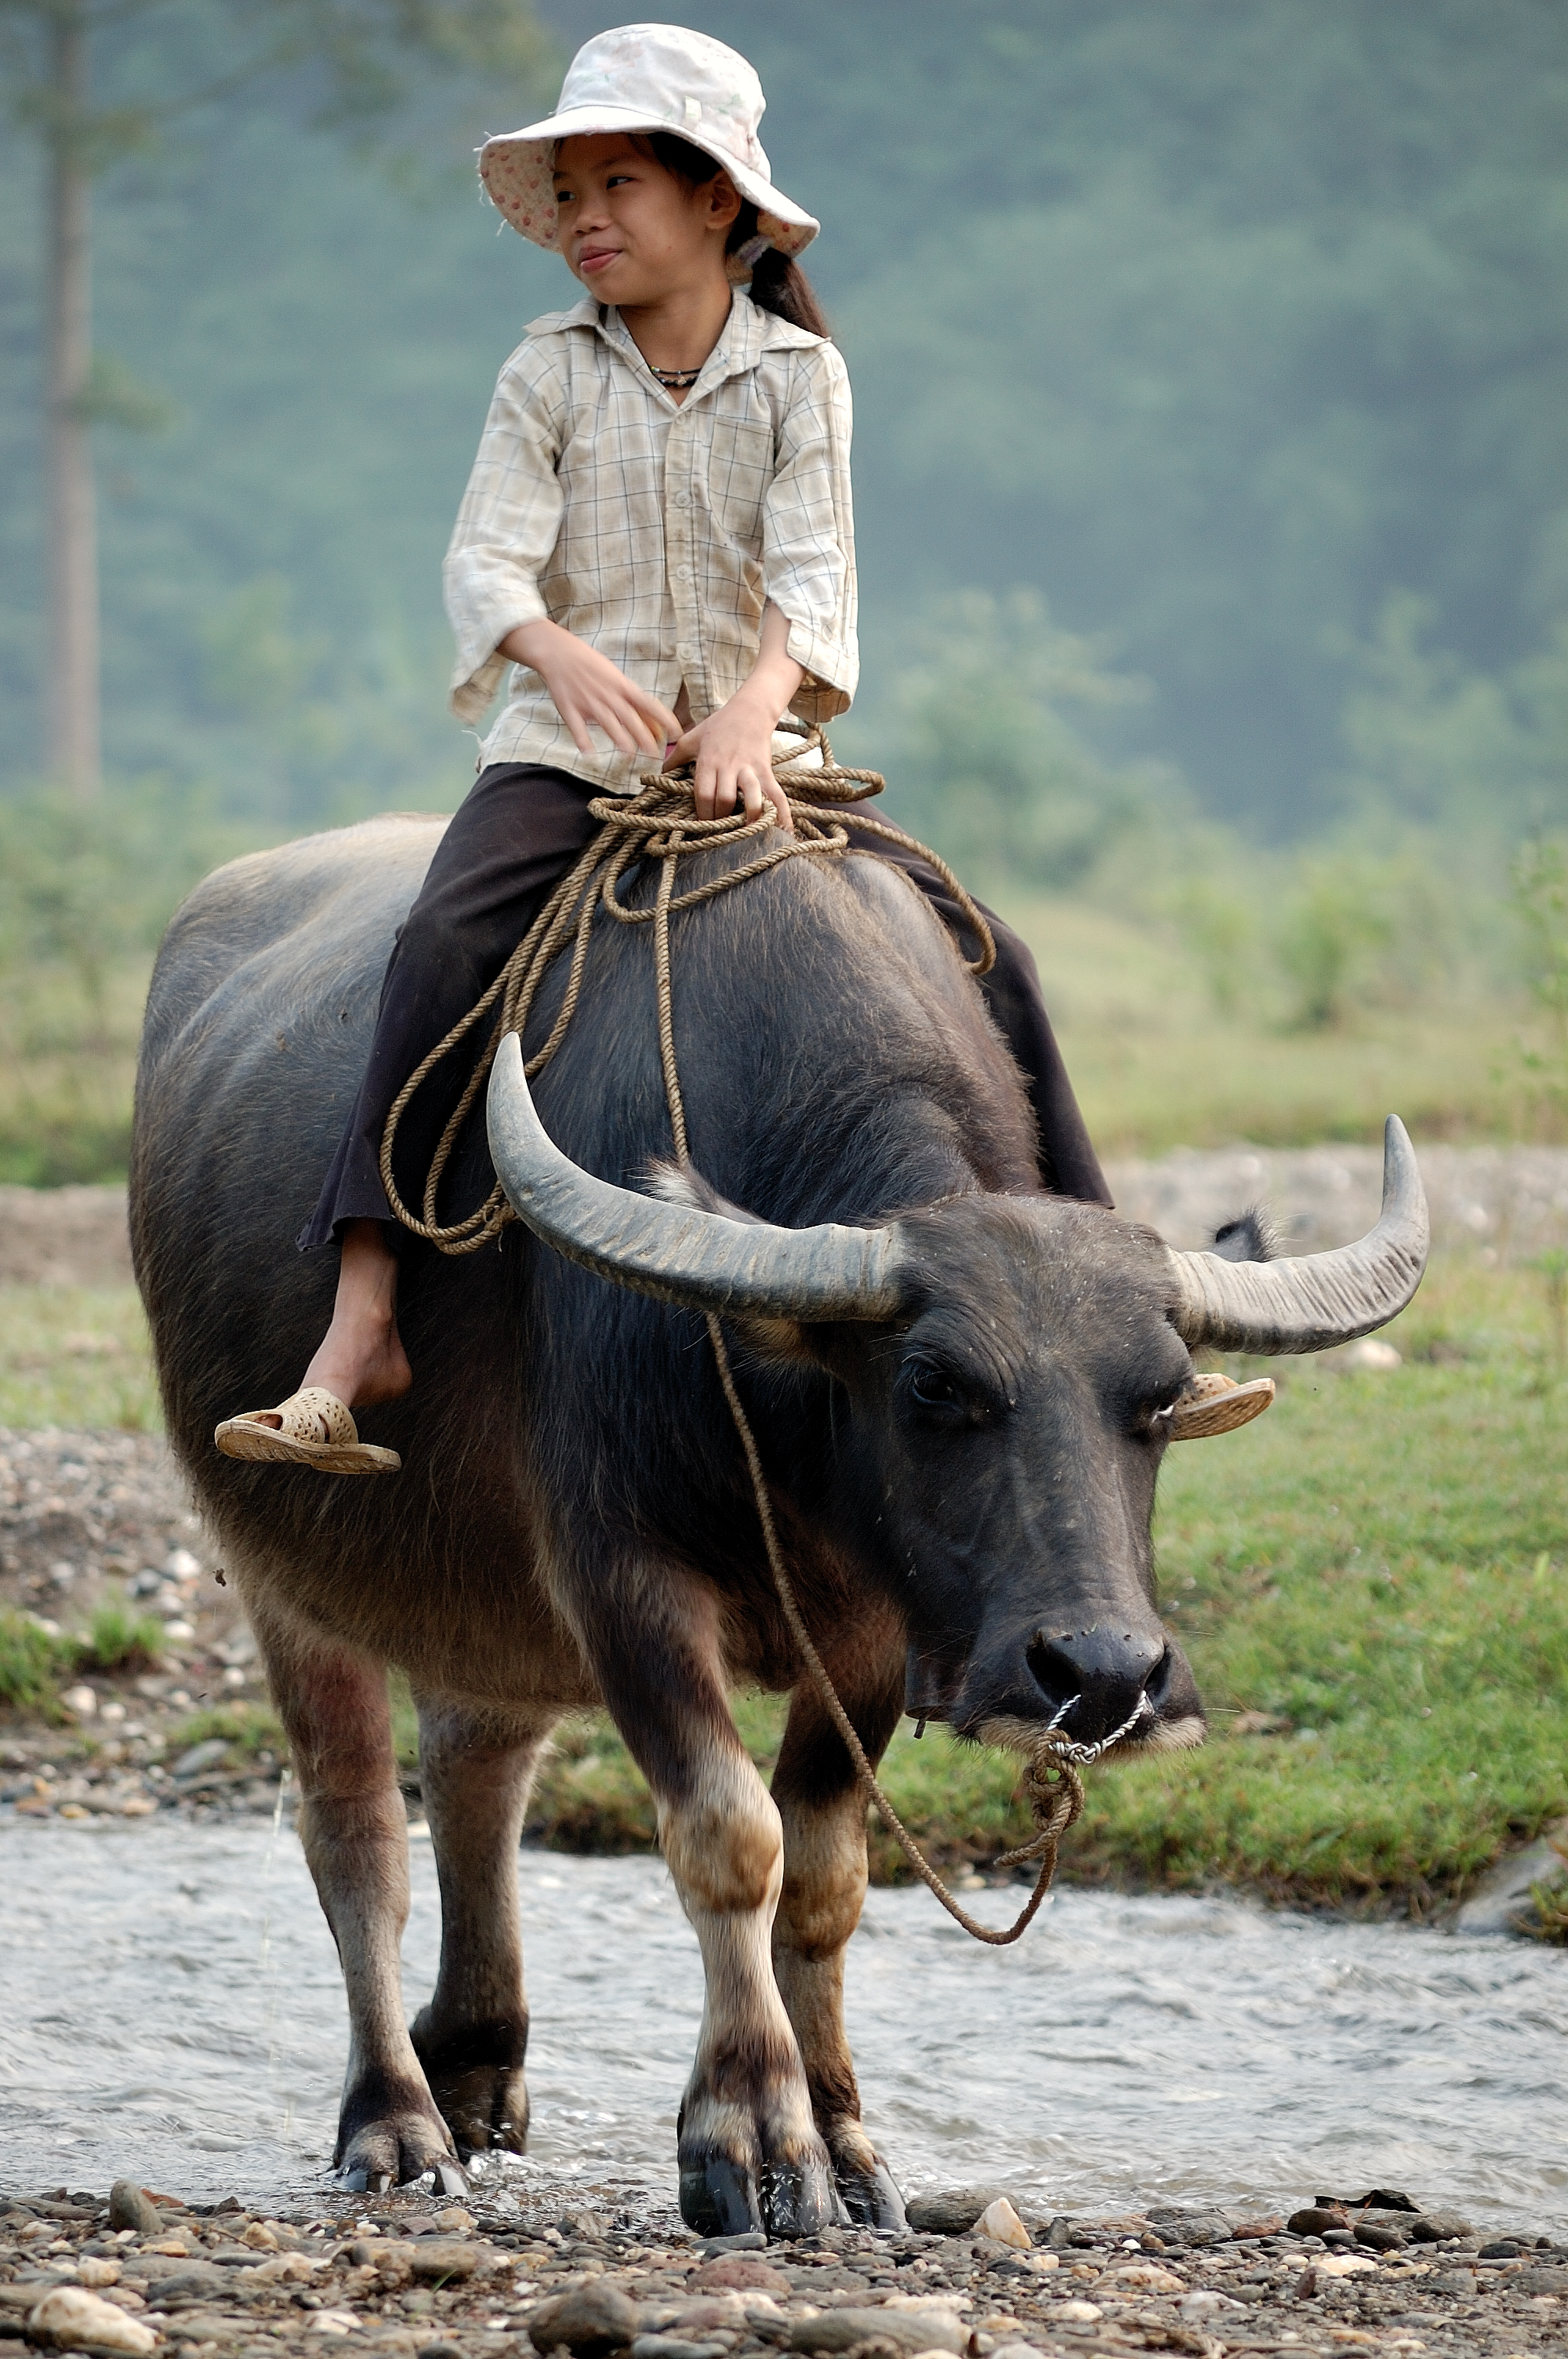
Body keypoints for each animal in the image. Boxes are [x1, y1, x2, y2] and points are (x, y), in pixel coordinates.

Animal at [131, 811, 1433, 2226]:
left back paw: (474, 2065)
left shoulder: (869, 1627)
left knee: (482, 1764)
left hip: (475, 1591)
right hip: (280, 1563)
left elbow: (826, 1876)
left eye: (1160, 1395)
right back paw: (395, 2120)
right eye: (934, 1384)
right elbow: (729, 1835)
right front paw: (751, 2136)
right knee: (356, 1831)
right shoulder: (623, 1579)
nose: (1100, 1673)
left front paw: (851, 2140)